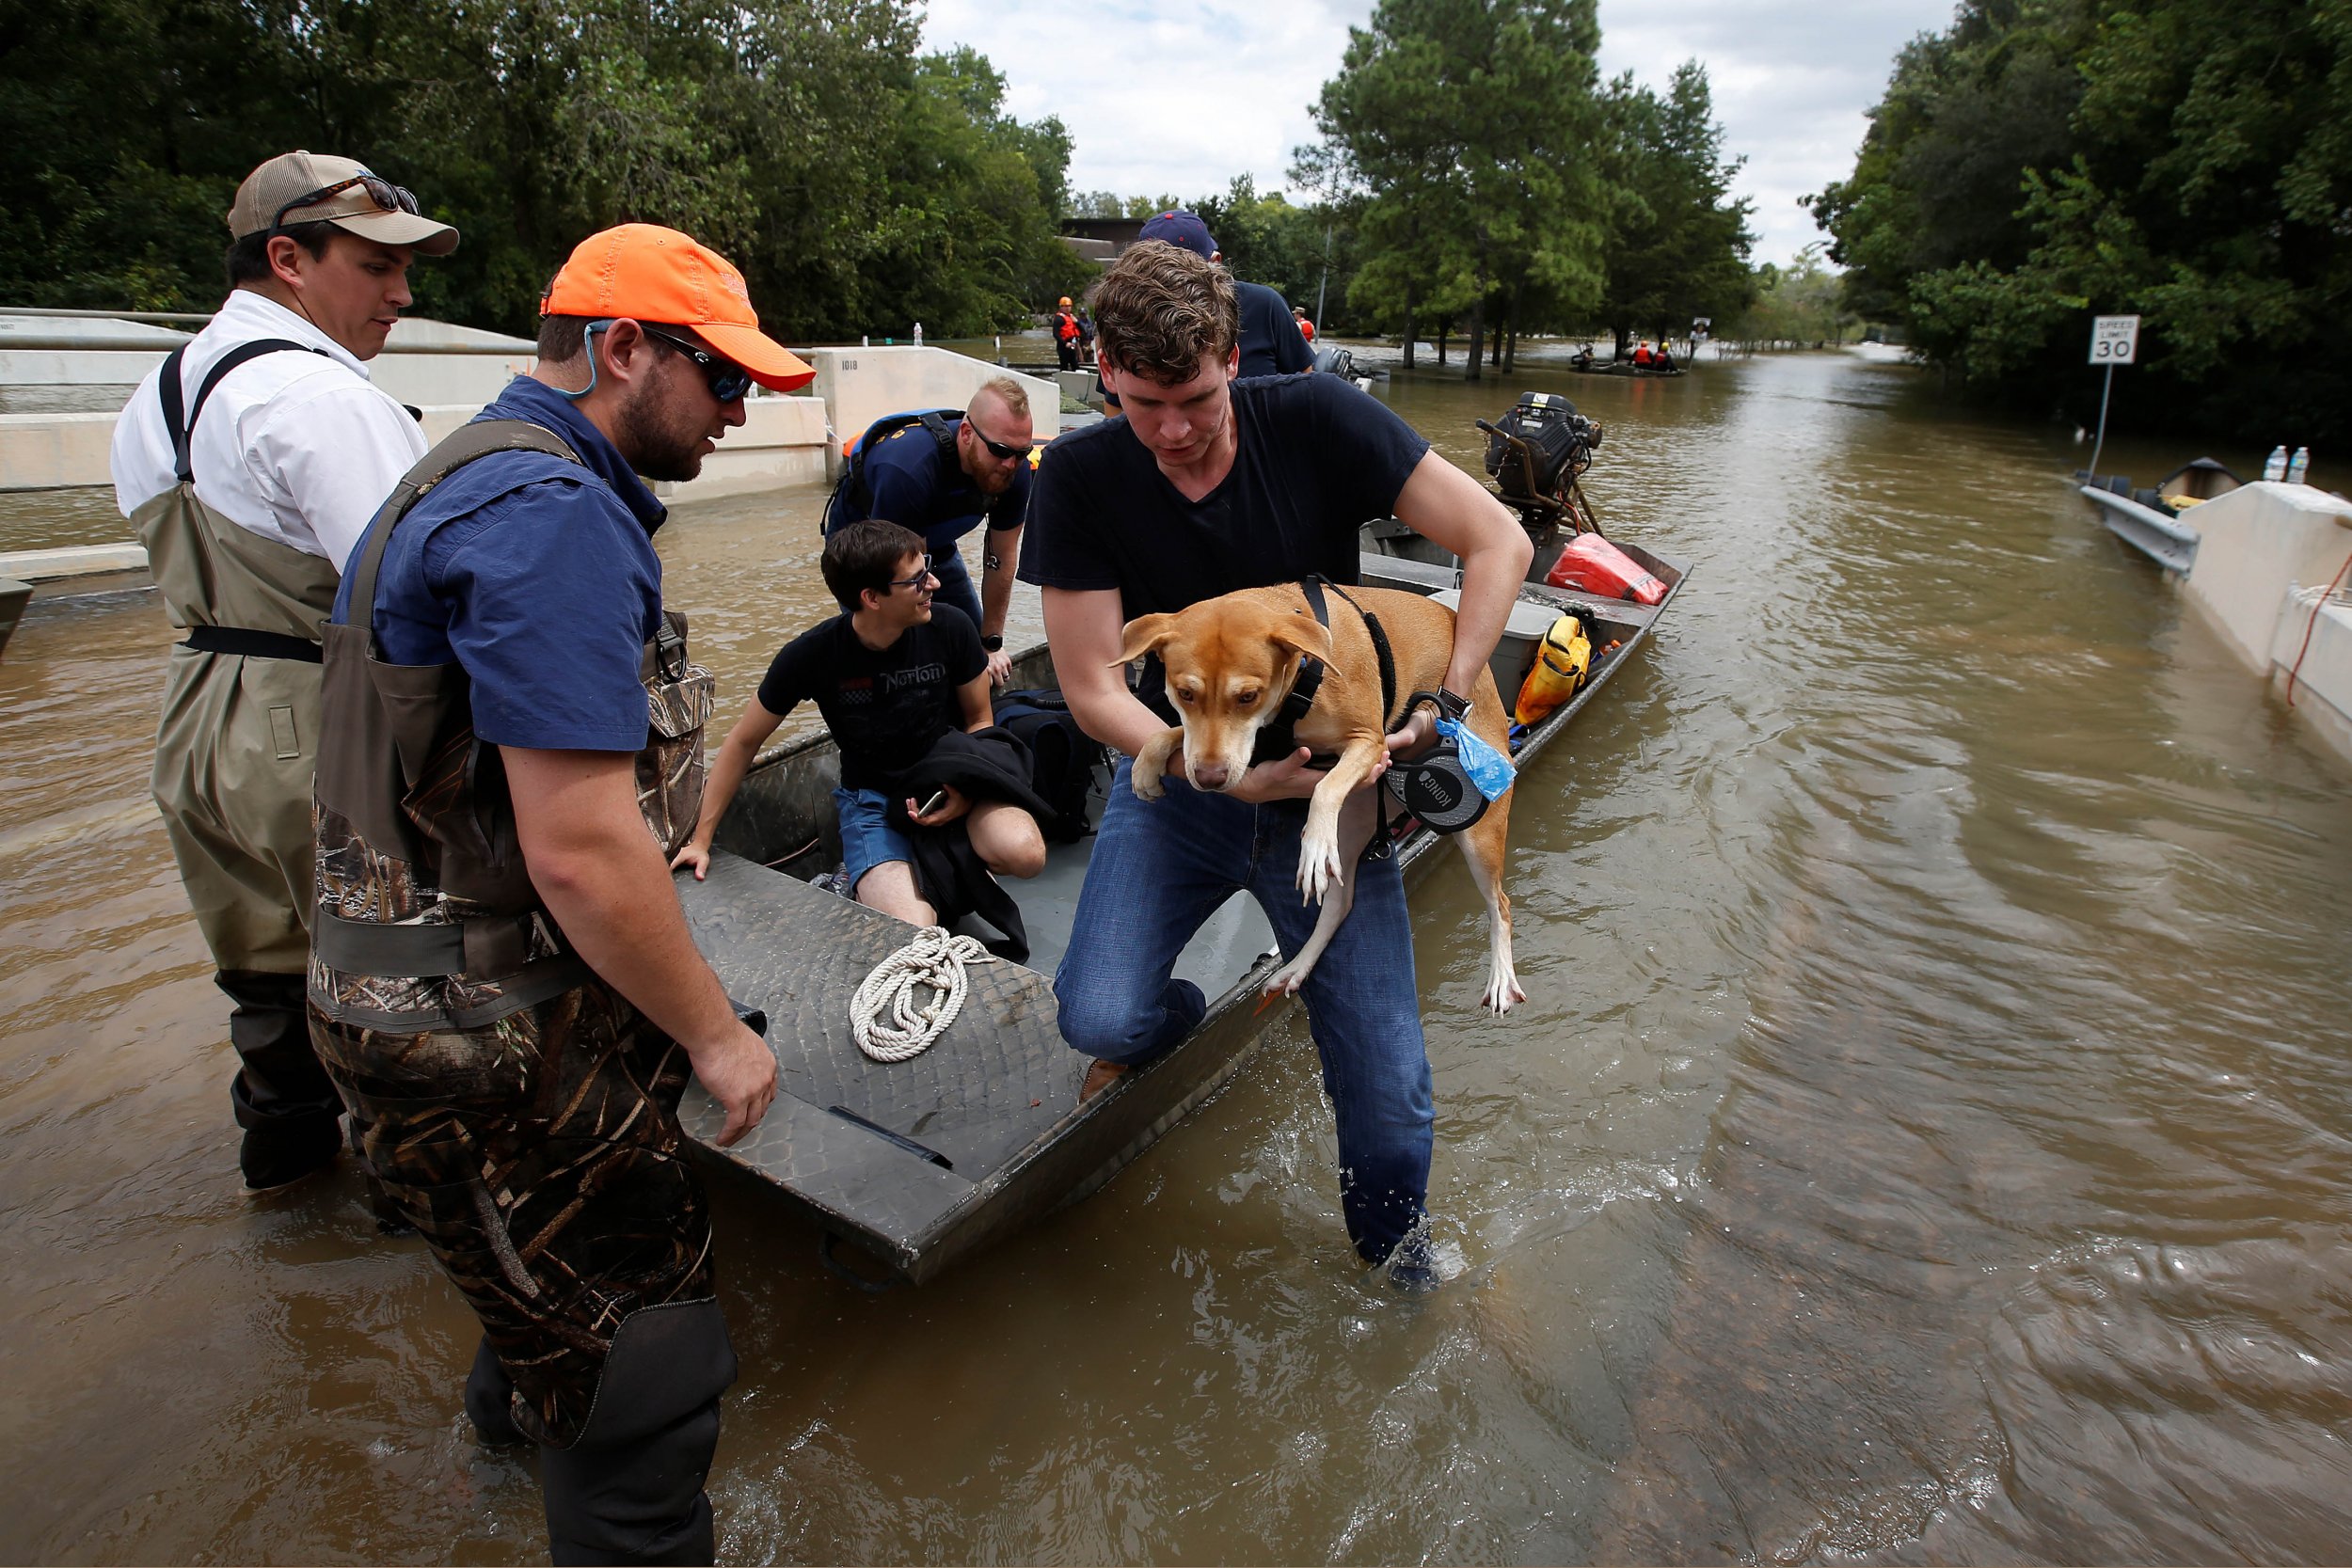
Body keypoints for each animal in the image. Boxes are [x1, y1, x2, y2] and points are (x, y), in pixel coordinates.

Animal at [1115, 582, 1524, 1010]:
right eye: (1184, 693)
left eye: (1248, 696)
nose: (1211, 778)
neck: (1301, 674)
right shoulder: (1245, 746)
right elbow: (1176, 733)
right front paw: (1147, 762)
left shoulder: (1370, 742)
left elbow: (1324, 788)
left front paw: (1311, 848)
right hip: (1354, 823)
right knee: (1340, 904)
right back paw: (1298, 966)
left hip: (1479, 833)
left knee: (1501, 904)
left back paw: (1501, 978)